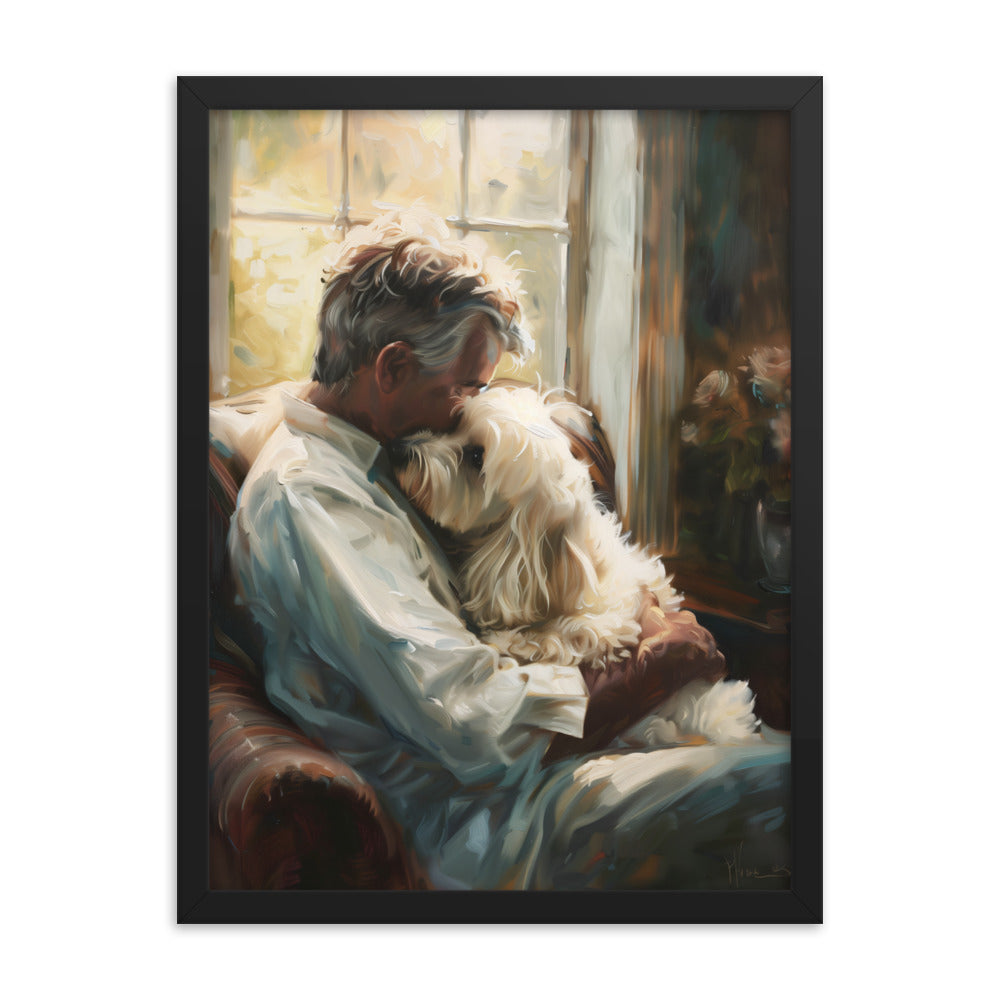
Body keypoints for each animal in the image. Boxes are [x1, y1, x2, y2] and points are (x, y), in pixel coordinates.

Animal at [392, 382, 688, 672]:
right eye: (455, 425)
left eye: (477, 456)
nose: (400, 449)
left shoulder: (611, 617)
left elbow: (572, 633)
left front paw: (513, 640)